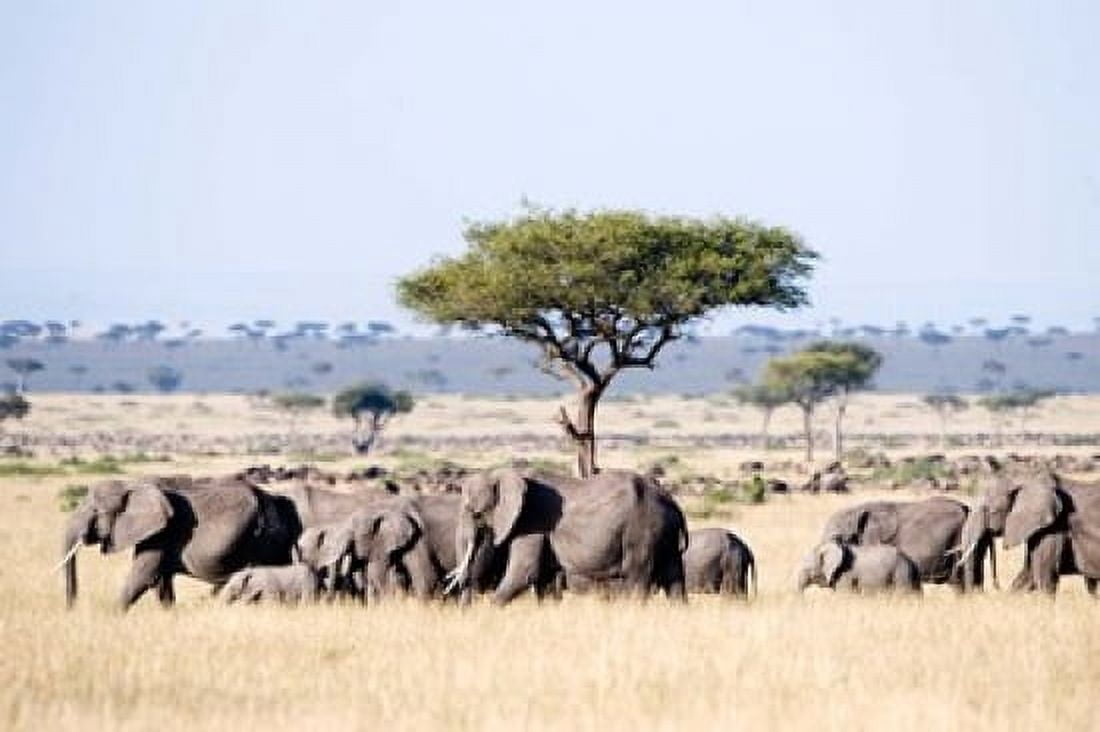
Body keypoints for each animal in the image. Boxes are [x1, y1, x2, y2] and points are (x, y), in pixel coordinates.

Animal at [61, 477, 301, 610]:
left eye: (96, 512)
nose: (71, 609)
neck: (134, 485)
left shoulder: (161, 534)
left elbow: (143, 576)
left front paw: (111, 616)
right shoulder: (155, 535)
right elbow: (161, 582)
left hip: (264, 538)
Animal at [447, 468, 688, 605]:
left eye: (475, 512)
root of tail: (671, 501)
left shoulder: (531, 523)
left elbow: (524, 573)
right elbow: (543, 581)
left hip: (643, 532)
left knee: (637, 578)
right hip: (663, 534)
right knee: (674, 580)